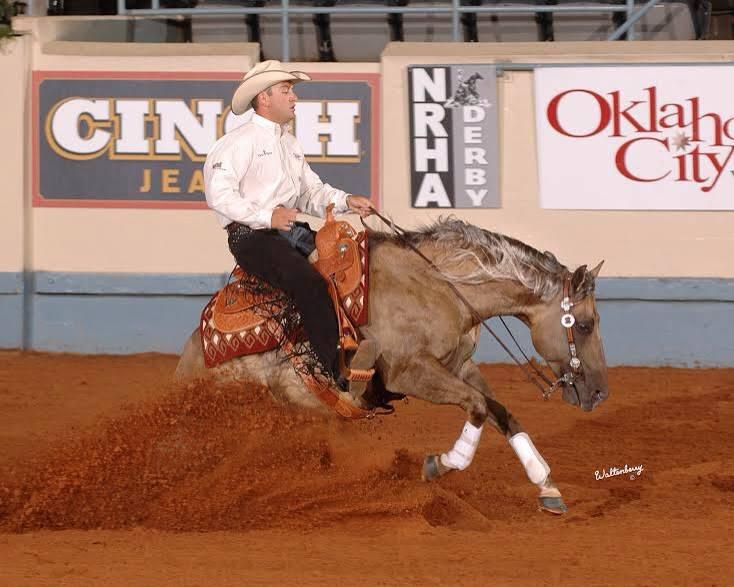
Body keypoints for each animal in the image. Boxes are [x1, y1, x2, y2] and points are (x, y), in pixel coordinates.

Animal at [177, 219, 608, 516]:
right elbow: (477, 407)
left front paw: (547, 487)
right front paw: (440, 464)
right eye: (585, 324)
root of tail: (190, 364)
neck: (439, 285)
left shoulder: (460, 366)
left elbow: (502, 412)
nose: (600, 392)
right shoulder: (410, 373)